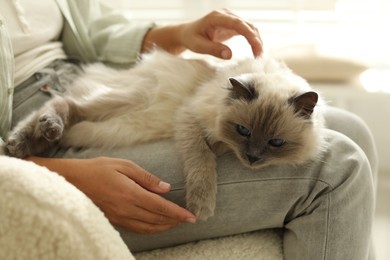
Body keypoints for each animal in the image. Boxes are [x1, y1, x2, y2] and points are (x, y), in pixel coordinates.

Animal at [6, 49, 324, 220]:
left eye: (276, 142)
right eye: (243, 130)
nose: (252, 158)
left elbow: (214, 149)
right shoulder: (189, 117)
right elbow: (202, 160)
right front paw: (201, 207)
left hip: (106, 126)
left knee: (68, 116)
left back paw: (36, 142)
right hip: (122, 102)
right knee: (64, 103)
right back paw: (26, 139)